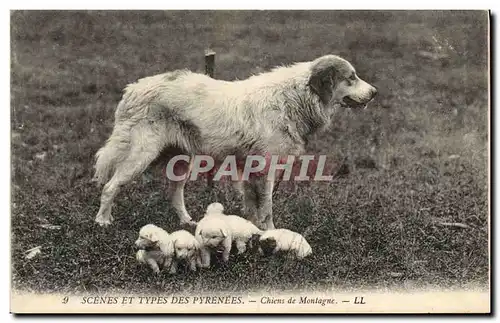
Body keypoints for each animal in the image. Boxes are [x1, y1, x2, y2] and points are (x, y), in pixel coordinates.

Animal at [93, 54, 376, 230]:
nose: (375, 92)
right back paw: (103, 221)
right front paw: (269, 232)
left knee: (174, 193)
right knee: (110, 186)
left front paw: (253, 231)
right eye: (351, 78)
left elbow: (252, 207)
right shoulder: (264, 171)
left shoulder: (248, 170)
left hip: (180, 161)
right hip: (140, 155)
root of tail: (133, 88)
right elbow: (266, 208)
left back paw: (187, 222)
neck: (293, 98)